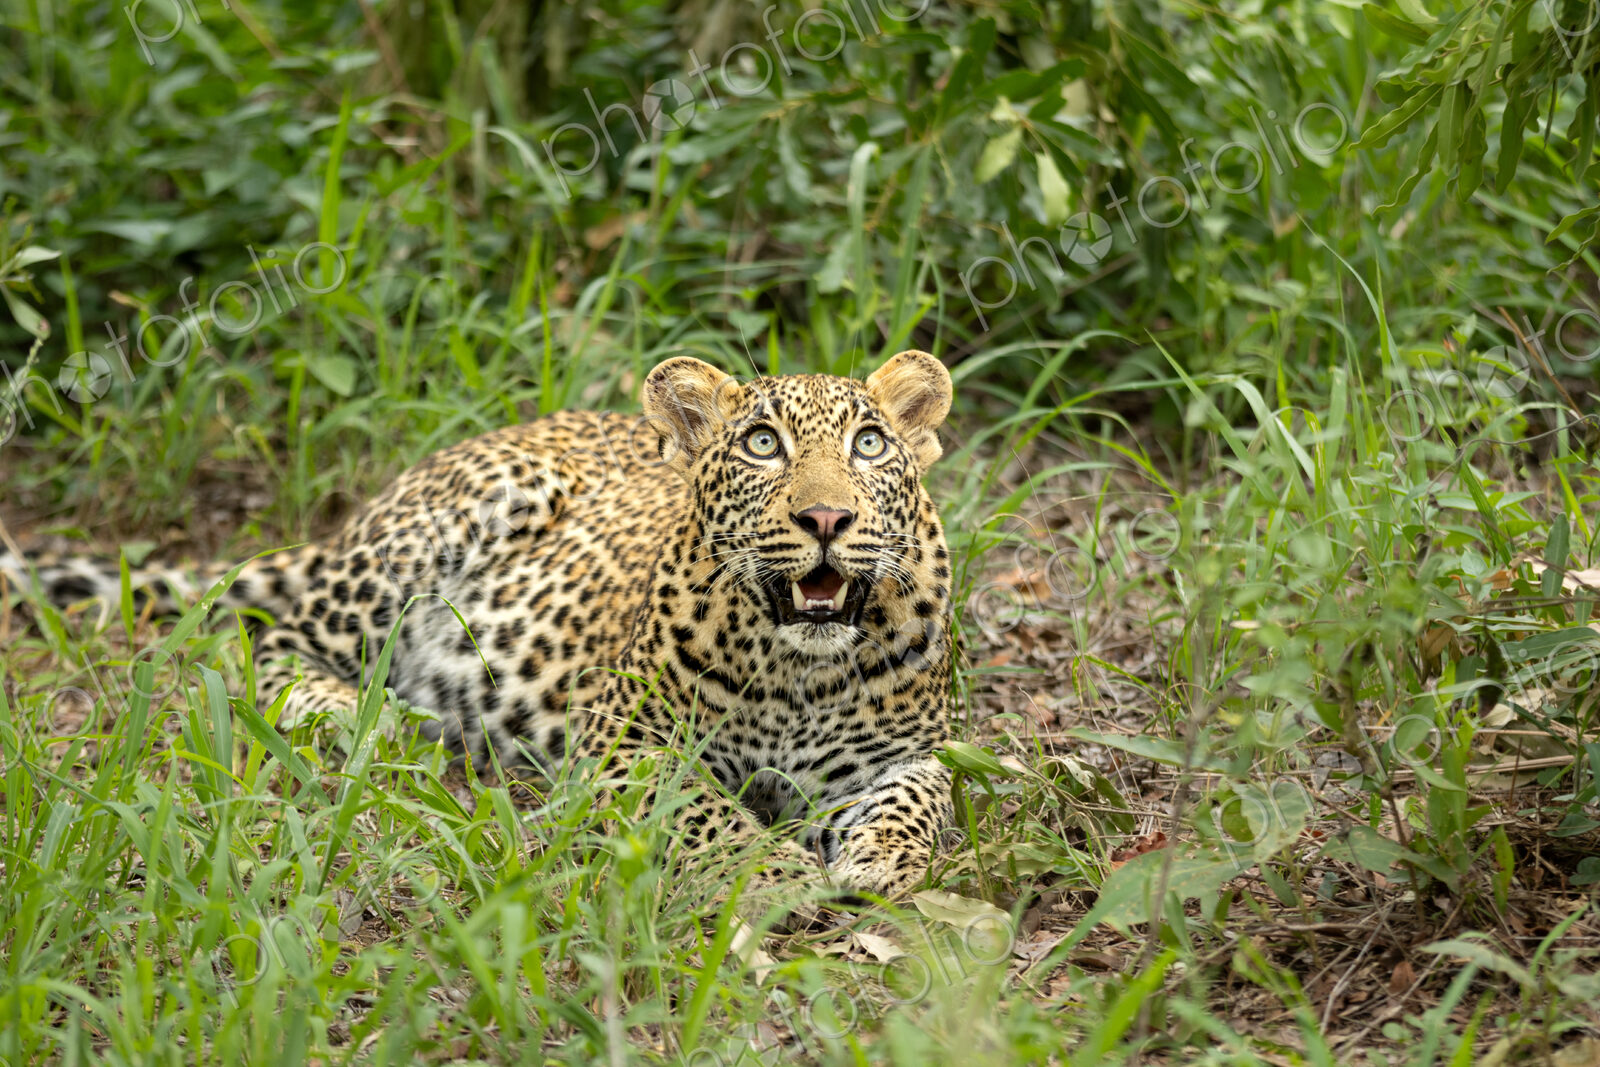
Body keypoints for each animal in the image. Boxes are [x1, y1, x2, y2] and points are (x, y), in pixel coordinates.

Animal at [1, 350, 958, 907]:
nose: (827, 518)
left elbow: (927, 795)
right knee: (265, 633)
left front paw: (876, 857)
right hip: (438, 535)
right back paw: (348, 711)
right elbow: (704, 811)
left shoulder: (907, 751)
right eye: (763, 444)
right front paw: (772, 871)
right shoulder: (626, 739)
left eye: (871, 444)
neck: (802, 670)